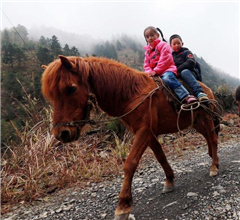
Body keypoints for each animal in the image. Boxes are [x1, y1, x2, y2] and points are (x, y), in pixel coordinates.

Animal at [41, 56, 219, 220]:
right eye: (51, 95)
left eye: (71, 89)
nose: (61, 133)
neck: (133, 94)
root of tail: (207, 90)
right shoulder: (147, 133)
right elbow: (160, 157)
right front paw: (169, 181)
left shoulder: (143, 132)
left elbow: (130, 164)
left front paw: (123, 206)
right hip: (197, 122)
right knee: (208, 138)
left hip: (206, 119)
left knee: (213, 139)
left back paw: (214, 167)